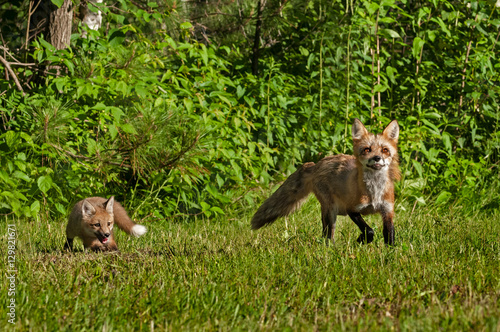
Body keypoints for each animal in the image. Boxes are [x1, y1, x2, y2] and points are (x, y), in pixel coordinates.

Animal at [252, 118, 400, 244]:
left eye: (385, 150)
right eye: (367, 149)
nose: (377, 158)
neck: (374, 193)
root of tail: (316, 164)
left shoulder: (387, 211)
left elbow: (390, 235)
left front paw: (389, 254)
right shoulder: (351, 209)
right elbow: (369, 230)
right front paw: (362, 240)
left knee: (326, 234)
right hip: (331, 209)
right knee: (328, 235)